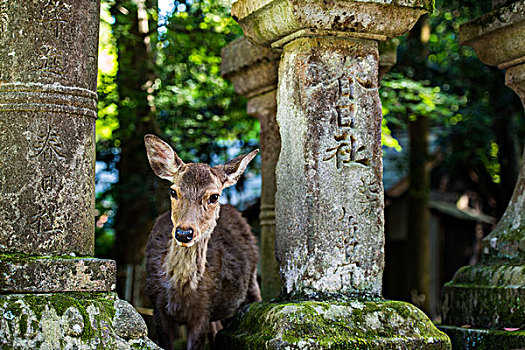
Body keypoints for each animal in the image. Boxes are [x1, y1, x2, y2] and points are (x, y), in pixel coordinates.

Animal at [143, 134, 262, 350]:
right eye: (173, 191)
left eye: (214, 196)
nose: (184, 233)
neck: (181, 291)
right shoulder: (157, 307)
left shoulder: (204, 310)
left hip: (251, 284)